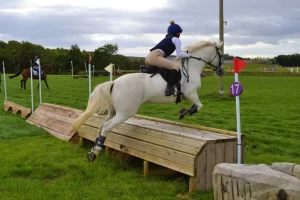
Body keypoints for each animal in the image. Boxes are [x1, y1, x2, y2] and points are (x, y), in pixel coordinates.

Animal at [72, 39, 224, 162]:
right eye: (221, 55)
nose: (221, 71)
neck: (191, 67)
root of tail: (114, 82)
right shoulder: (190, 93)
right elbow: (199, 106)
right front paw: (185, 112)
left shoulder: (190, 95)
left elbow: (197, 105)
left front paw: (183, 111)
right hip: (125, 113)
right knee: (107, 126)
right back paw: (95, 152)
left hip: (113, 112)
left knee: (102, 125)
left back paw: (93, 149)